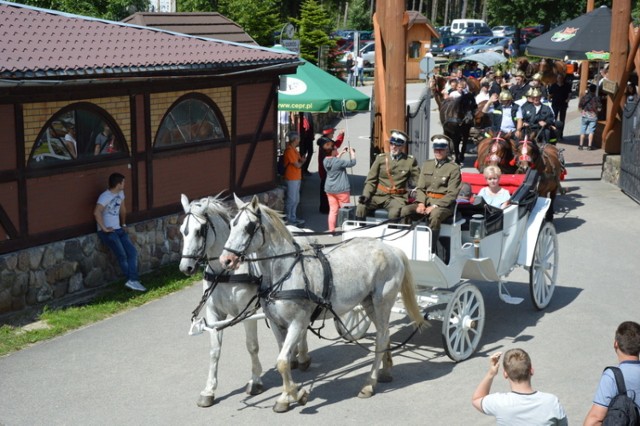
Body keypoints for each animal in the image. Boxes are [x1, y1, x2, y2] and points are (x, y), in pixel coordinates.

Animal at [180, 195, 312, 408]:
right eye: (182, 230)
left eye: (199, 230)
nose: (185, 267)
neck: (225, 273)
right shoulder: (214, 313)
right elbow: (214, 351)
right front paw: (209, 390)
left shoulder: (246, 312)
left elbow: (252, 346)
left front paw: (255, 381)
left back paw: (303, 356)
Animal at [220, 196, 424, 412]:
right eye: (232, 224)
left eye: (249, 227)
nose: (226, 260)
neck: (285, 272)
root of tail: (392, 249)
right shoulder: (276, 324)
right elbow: (283, 359)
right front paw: (285, 397)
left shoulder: (297, 323)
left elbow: (282, 361)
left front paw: (297, 394)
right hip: (369, 304)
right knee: (384, 334)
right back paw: (385, 371)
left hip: (382, 301)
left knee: (382, 337)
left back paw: (369, 383)